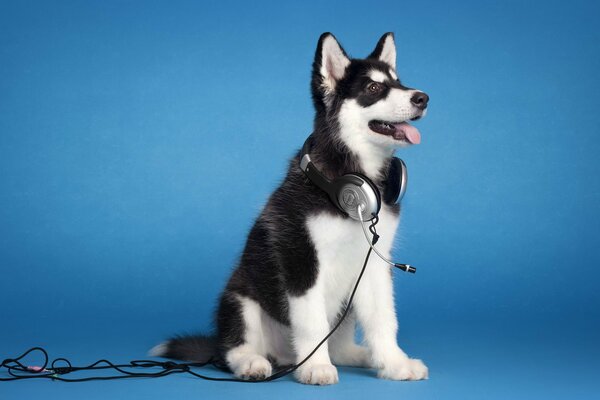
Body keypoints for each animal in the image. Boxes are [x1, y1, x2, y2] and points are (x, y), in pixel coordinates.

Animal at [152, 32, 428, 384]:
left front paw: (394, 363)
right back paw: (253, 363)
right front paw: (316, 367)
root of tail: (284, 355)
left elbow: (383, 318)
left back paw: (357, 355)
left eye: (398, 82)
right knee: (231, 349)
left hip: (344, 305)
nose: (423, 98)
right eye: (373, 88)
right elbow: (312, 323)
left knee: (338, 343)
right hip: (240, 299)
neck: (346, 178)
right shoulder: (302, 260)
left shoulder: (375, 264)